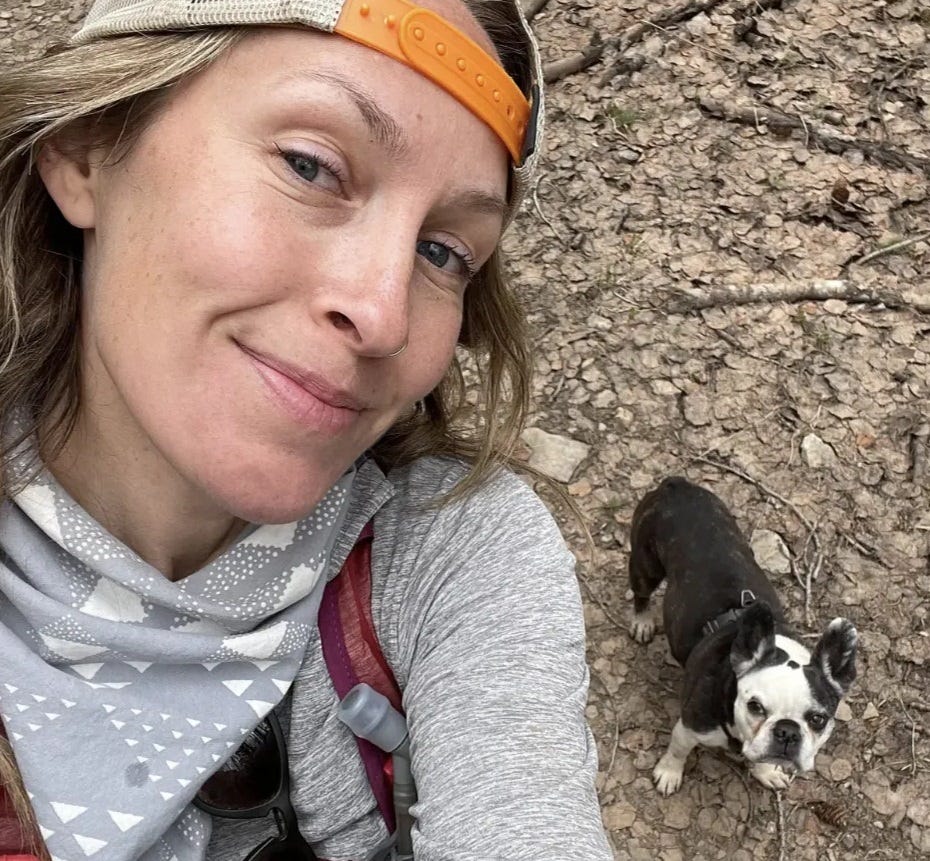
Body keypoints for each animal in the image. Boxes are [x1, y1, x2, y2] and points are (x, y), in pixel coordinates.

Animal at [632, 478, 856, 792]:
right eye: (755, 707)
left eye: (818, 719)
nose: (787, 732)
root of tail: (676, 484)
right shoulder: (690, 726)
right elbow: (678, 749)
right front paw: (669, 772)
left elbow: (761, 760)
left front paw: (767, 772)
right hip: (645, 564)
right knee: (641, 592)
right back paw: (641, 621)